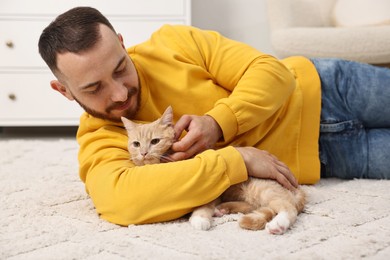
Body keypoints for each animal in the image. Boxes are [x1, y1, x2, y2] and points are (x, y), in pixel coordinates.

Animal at [121, 106, 304, 235]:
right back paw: (223, 209)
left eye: (155, 141)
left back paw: (278, 225)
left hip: (261, 188)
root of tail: (299, 189)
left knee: (288, 207)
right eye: (136, 144)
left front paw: (200, 219)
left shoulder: (209, 187)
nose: (144, 153)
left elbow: (204, 204)